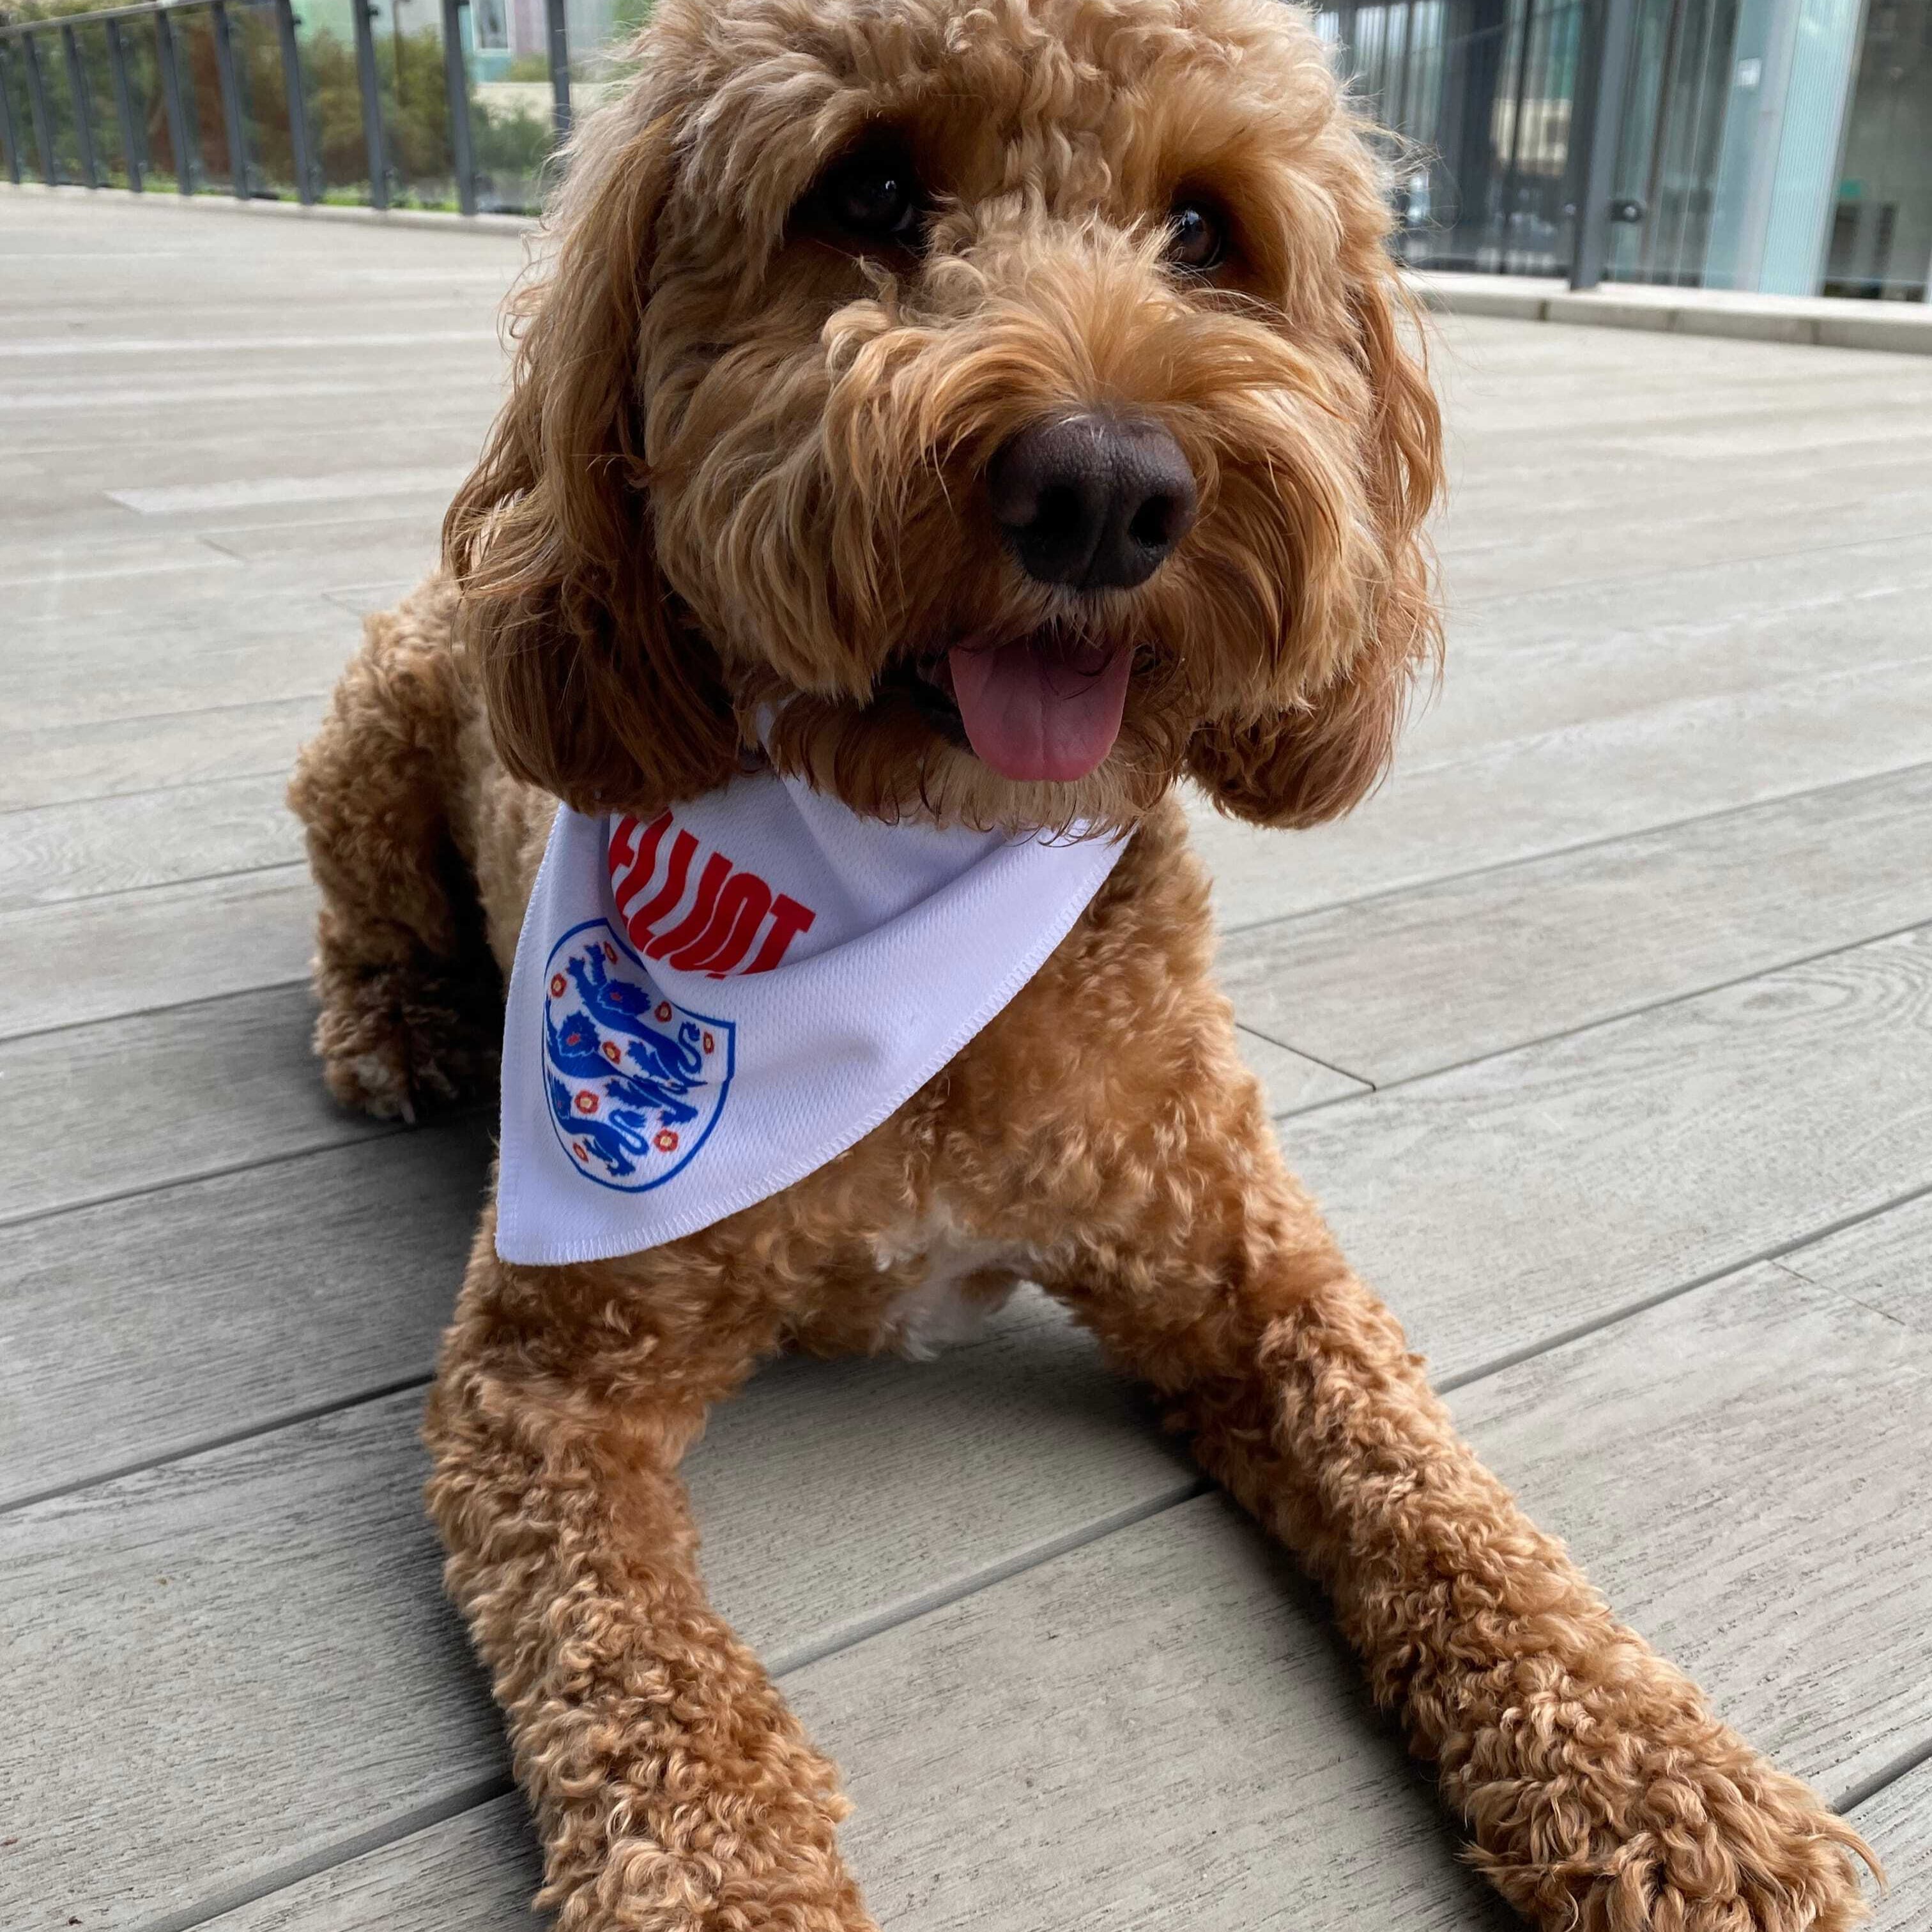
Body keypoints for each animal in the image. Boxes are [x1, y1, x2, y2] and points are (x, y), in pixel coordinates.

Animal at [293, 3, 1878, 1932]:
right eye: (869, 190)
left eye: (1205, 227)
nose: (1108, 490)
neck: (921, 883)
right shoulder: (546, 1381)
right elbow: (644, 1676)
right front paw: (727, 1884)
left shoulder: (1248, 1268)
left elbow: (1439, 1493)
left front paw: (1668, 1782)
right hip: (377, 722)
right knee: (359, 911)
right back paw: (398, 1027)